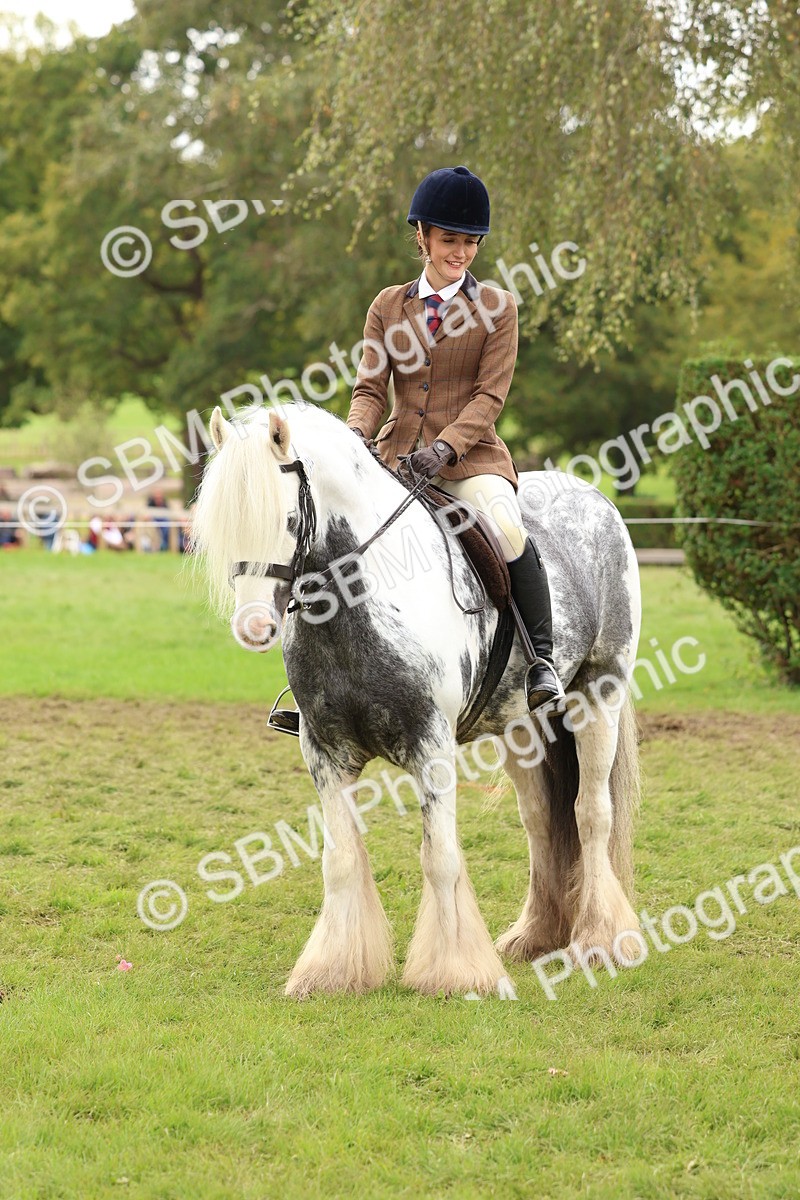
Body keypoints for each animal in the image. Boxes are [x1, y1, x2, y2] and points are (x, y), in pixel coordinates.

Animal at [191, 401, 642, 999]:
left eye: (285, 520)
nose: (253, 627)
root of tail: (593, 497)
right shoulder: (324, 754)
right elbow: (340, 862)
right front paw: (330, 972)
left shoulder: (432, 747)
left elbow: (441, 859)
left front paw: (456, 974)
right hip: (521, 727)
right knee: (542, 820)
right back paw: (535, 936)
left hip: (599, 694)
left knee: (590, 813)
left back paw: (600, 939)